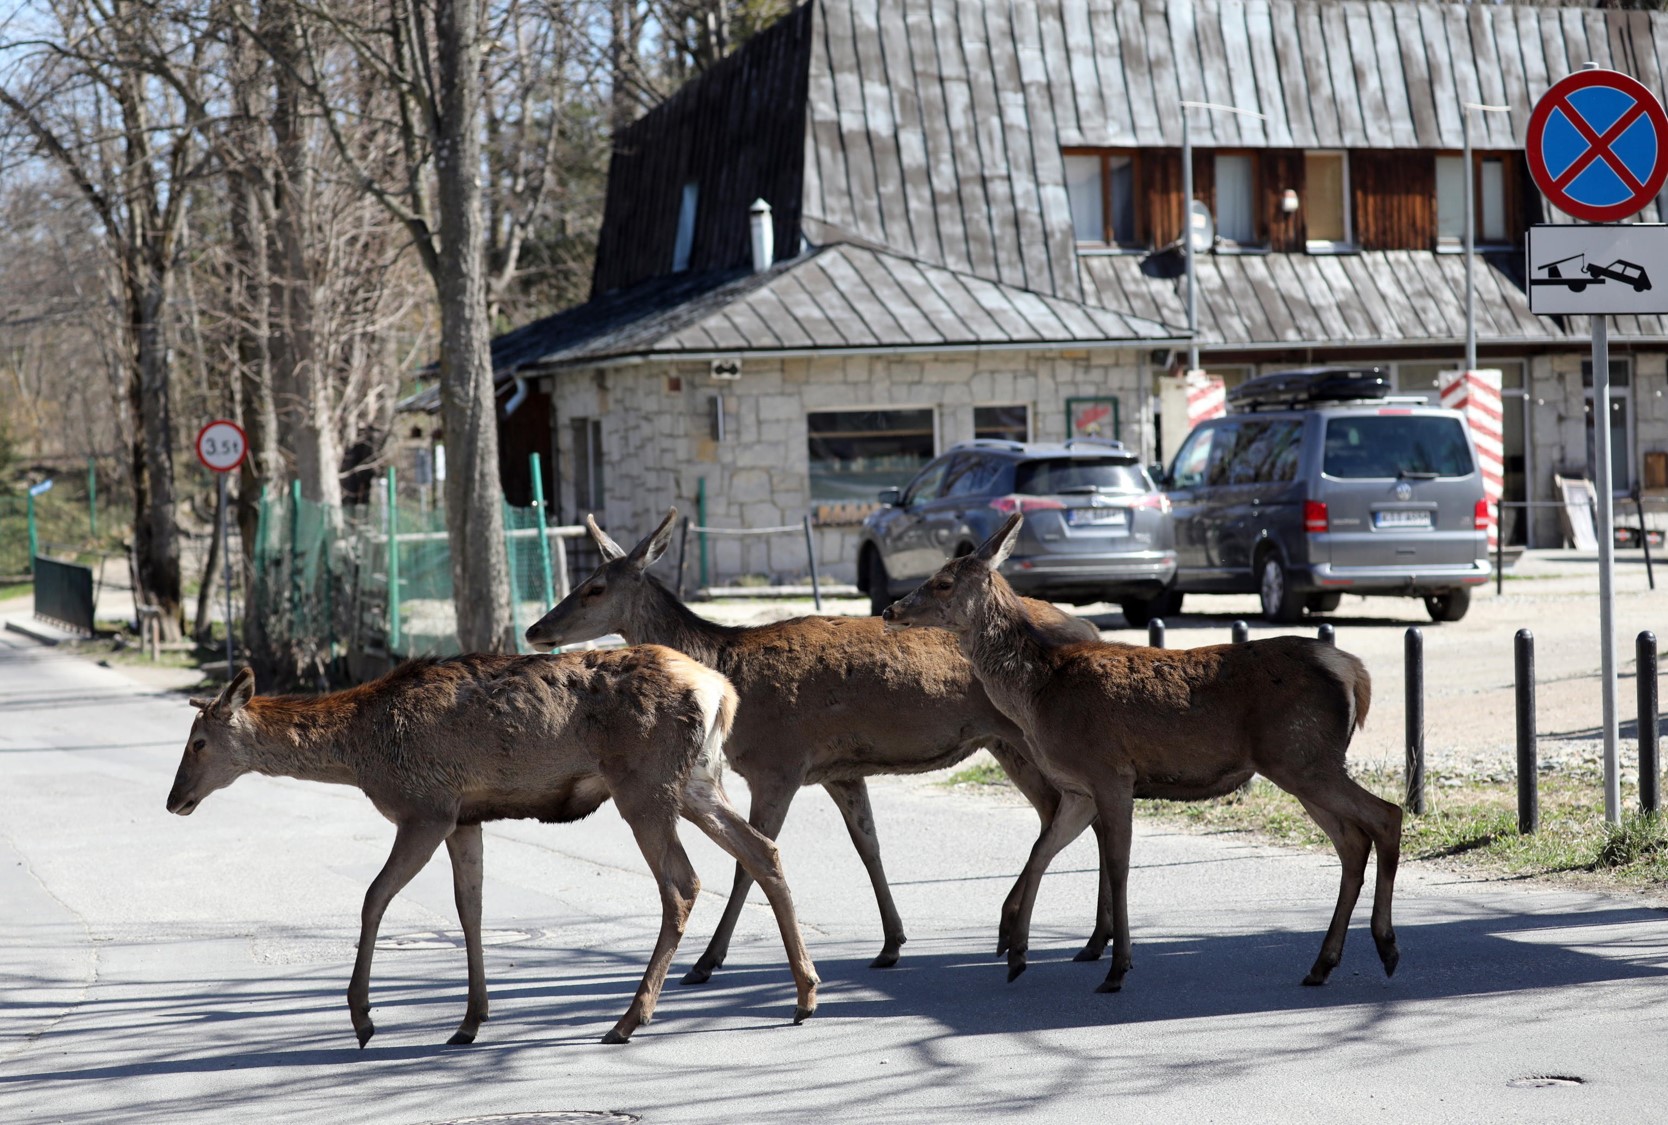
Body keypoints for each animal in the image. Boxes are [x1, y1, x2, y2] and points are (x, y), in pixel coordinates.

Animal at [165, 647, 817, 1041]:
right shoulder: (465, 817)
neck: (362, 753)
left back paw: (629, 1019)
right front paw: (470, 1021)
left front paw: (363, 1018)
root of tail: (720, 691)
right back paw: (805, 996)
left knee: (682, 883)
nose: (173, 800)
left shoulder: (426, 808)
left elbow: (374, 898)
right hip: (698, 781)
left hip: (645, 785)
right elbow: (469, 908)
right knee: (763, 850)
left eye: (198, 742)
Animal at [523, 507, 1120, 981]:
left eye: (595, 587)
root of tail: (1091, 629)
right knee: (1060, 812)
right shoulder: (839, 769)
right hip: (1005, 742)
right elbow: (868, 846)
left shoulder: (777, 763)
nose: (534, 629)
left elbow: (749, 862)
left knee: (1079, 812)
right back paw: (1072, 935)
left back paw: (1074, 936)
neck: (729, 669)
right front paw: (891, 943)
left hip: (1030, 736)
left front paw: (708, 961)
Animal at [880, 507, 1401, 988]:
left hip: (1302, 755)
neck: (1039, 691)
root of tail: (1354, 671)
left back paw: (1386, 947)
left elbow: (1117, 866)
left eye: (943, 582)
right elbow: (1041, 851)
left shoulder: (1109, 771)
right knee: (1352, 842)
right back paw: (1323, 964)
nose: (890, 610)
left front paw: (1117, 967)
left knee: (1386, 815)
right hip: (1303, 763)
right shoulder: (1079, 788)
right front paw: (1016, 952)